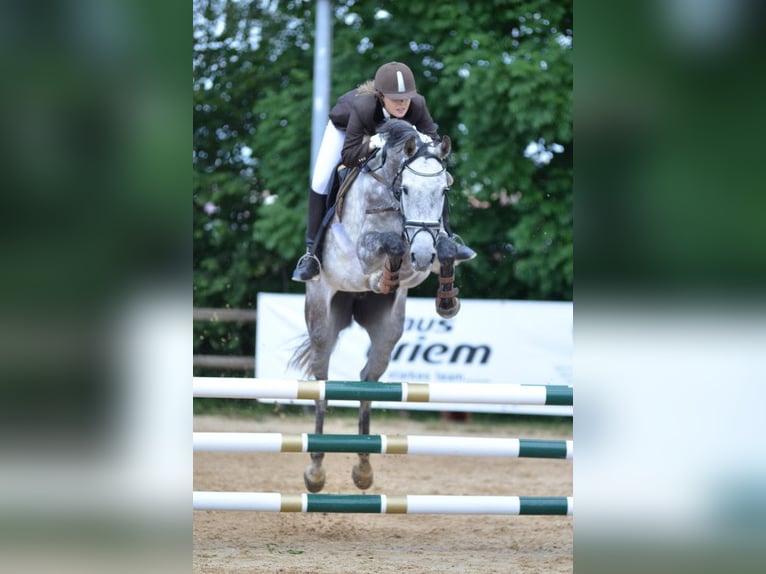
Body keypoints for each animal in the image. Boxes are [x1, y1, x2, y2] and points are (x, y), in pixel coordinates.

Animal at [292, 118, 462, 496]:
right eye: (407, 190)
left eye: (444, 192)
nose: (422, 252)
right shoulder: (366, 247)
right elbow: (389, 244)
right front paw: (382, 275)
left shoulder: (424, 257)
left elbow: (441, 248)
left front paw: (445, 299)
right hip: (322, 318)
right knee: (322, 381)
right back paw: (315, 471)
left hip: (388, 331)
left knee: (367, 381)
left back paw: (364, 468)